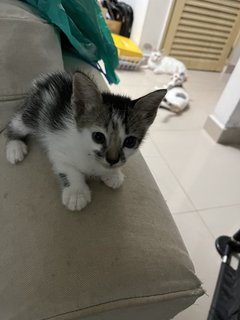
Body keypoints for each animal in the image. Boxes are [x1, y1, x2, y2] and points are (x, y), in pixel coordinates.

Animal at [5, 71, 167, 211]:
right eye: (98, 137)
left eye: (130, 142)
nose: (112, 160)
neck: (90, 156)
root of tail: (45, 80)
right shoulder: (58, 146)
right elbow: (68, 169)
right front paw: (76, 193)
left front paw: (114, 174)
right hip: (32, 114)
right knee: (15, 123)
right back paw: (15, 148)